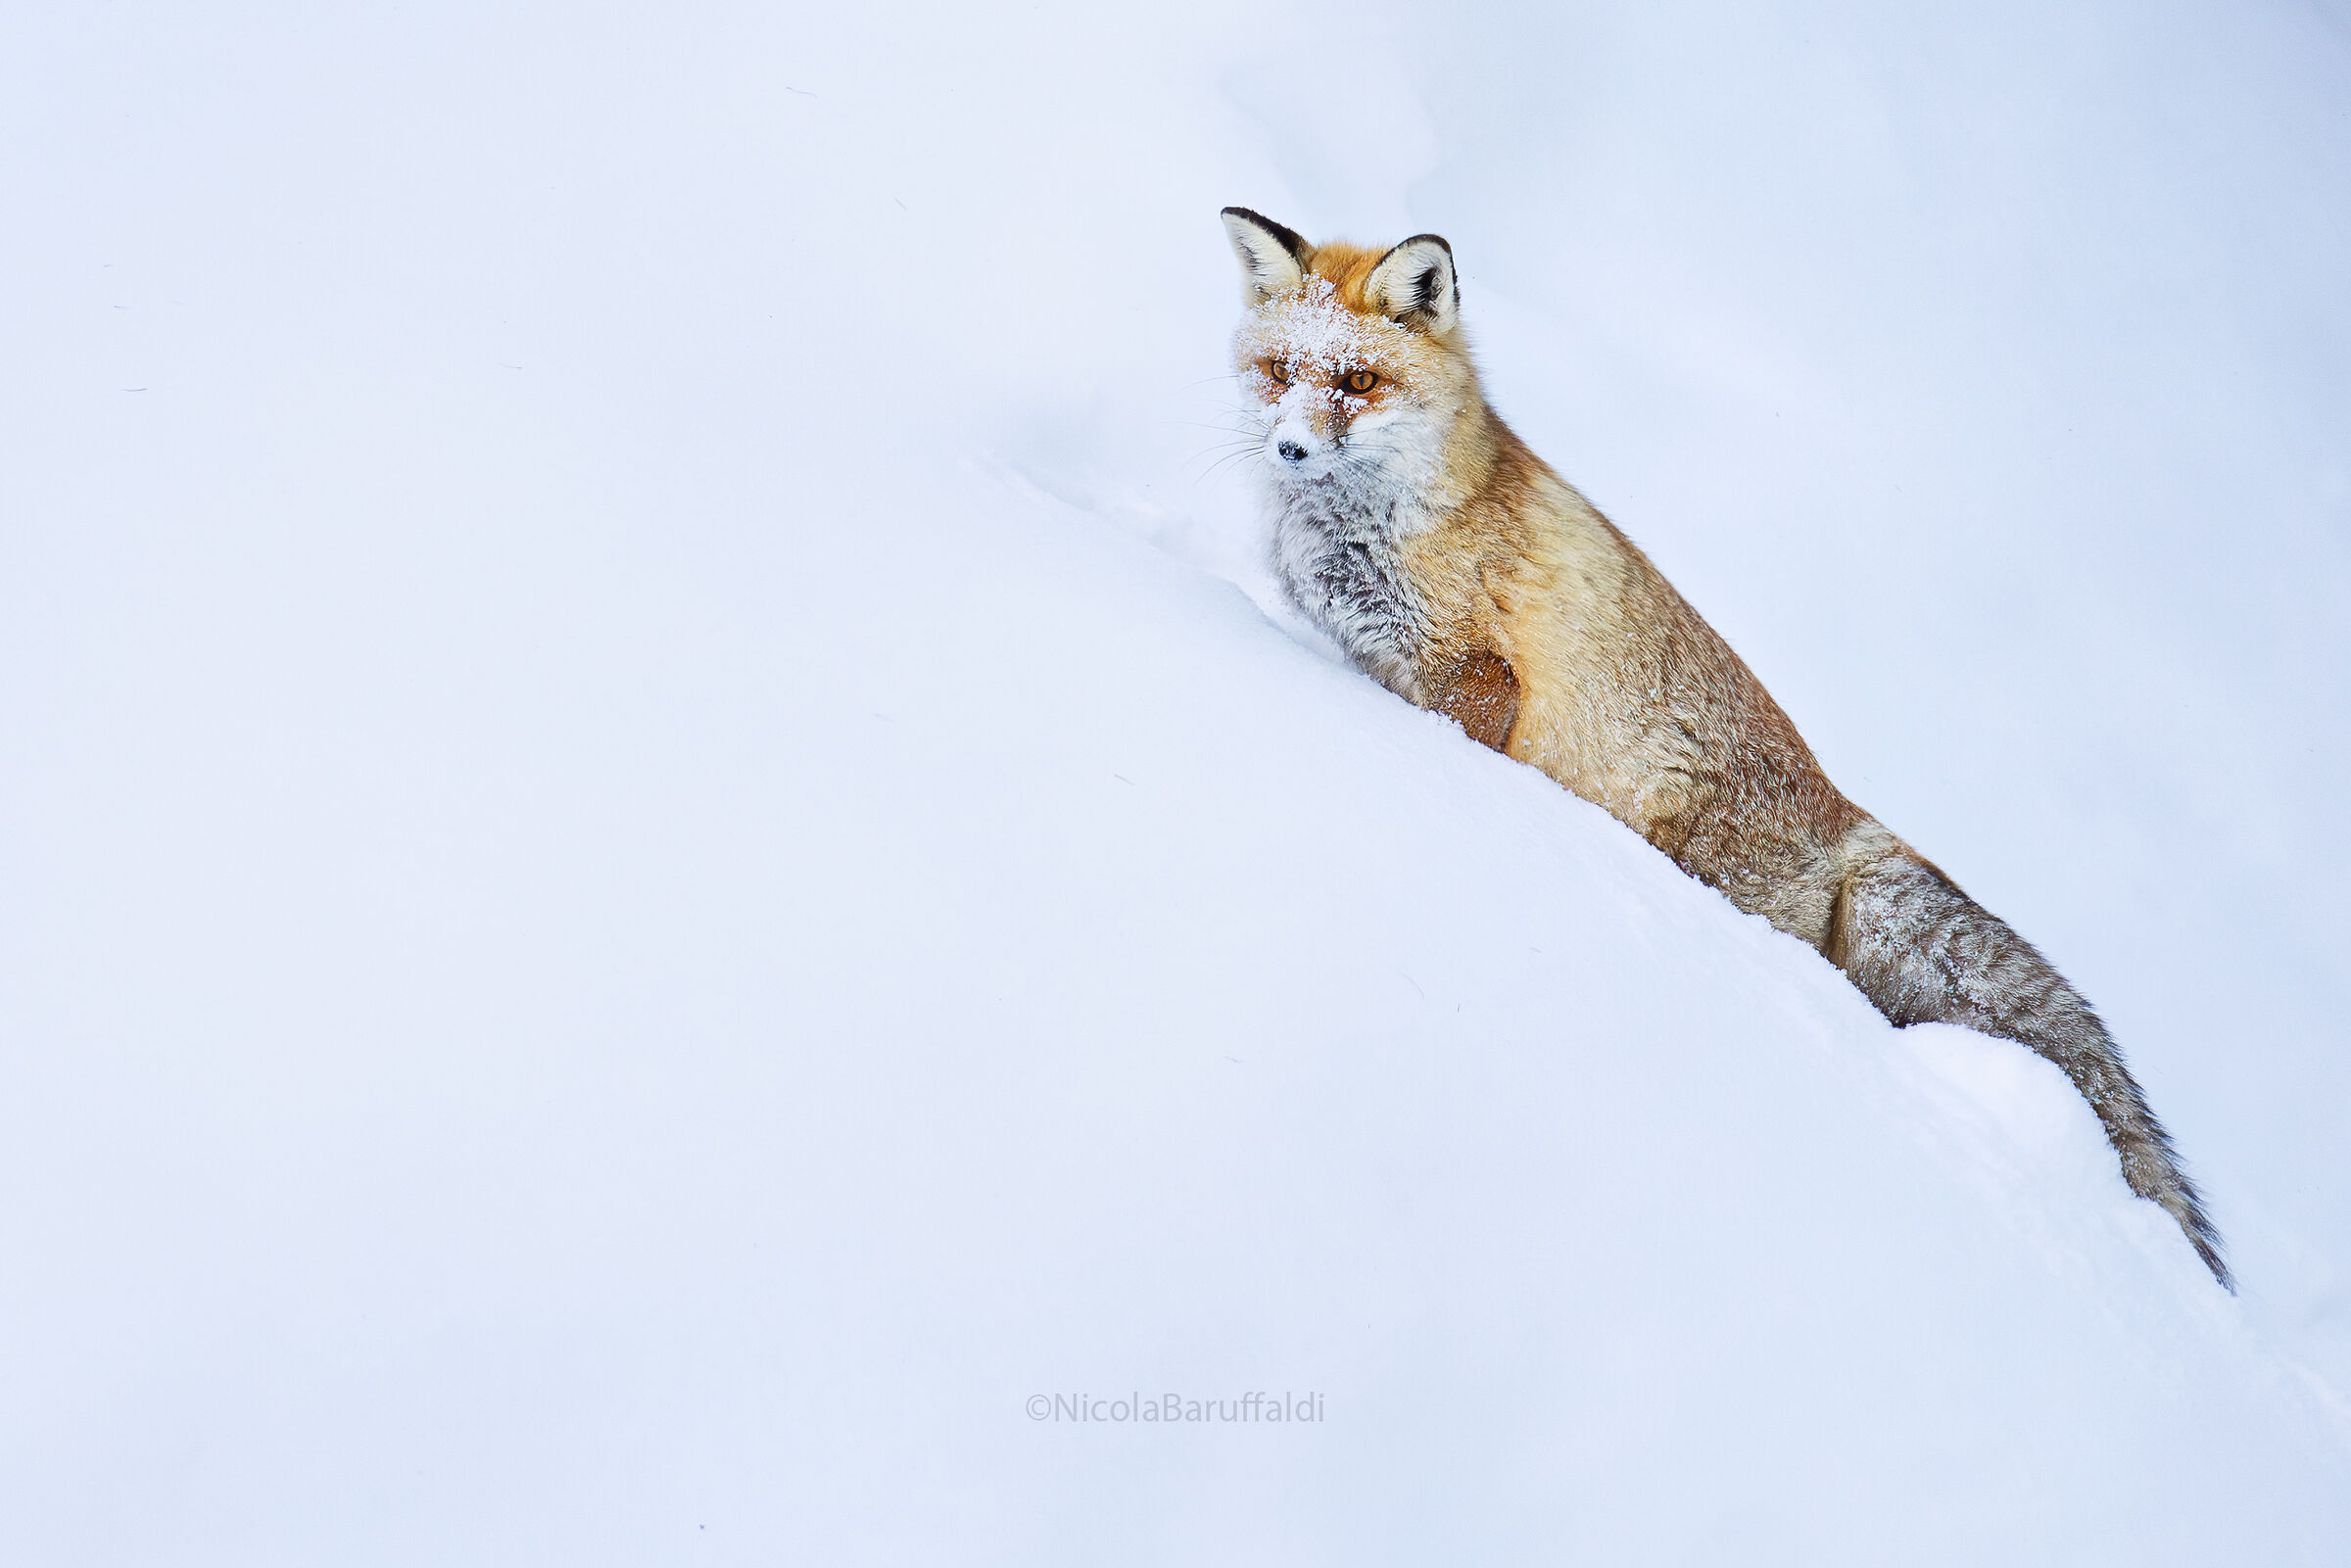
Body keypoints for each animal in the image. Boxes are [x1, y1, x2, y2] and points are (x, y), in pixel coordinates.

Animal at [1218, 206, 2228, 1287]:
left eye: (1358, 381)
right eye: (1280, 371)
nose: (1288, 448)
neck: (1379, 525)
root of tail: (1849, 814)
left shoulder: (1478, 678)